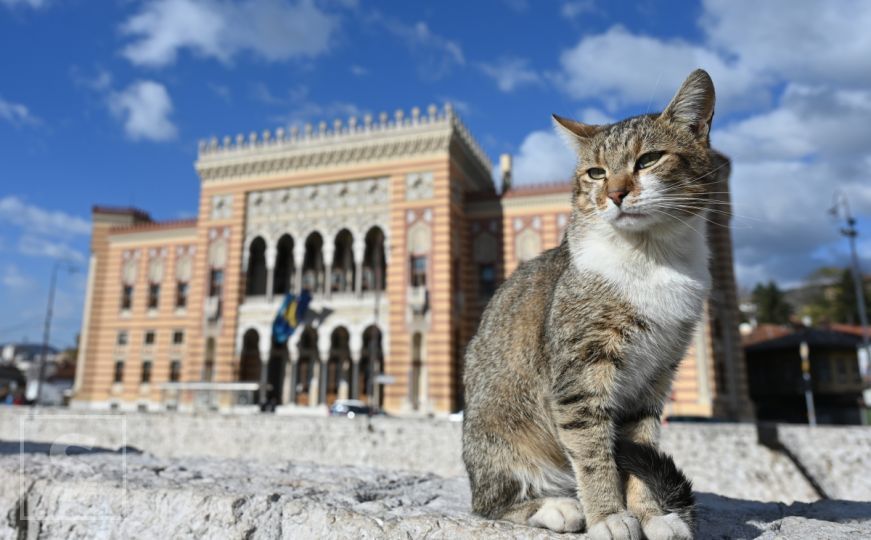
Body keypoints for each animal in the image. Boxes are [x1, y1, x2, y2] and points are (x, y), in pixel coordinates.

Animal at [460, 70, 720, 540]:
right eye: (596, 173)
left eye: (648, 160)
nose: (615, 193)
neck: (650, 257)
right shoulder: (581, 372)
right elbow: (594, 452)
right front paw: (608, 515)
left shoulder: (655, 378)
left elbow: (638, 452)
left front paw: (651, 515)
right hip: (499, 435)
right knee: (490, 504)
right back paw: (557, 507)